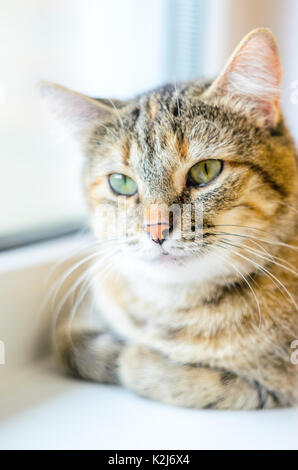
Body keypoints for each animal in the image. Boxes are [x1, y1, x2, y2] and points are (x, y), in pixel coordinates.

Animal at [41, 28, 298, 408]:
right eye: (121, 183)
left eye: (206, 171)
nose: (156, 229)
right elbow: (67, 341)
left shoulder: (274, 385)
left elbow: (152, 369)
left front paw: (134, 357)